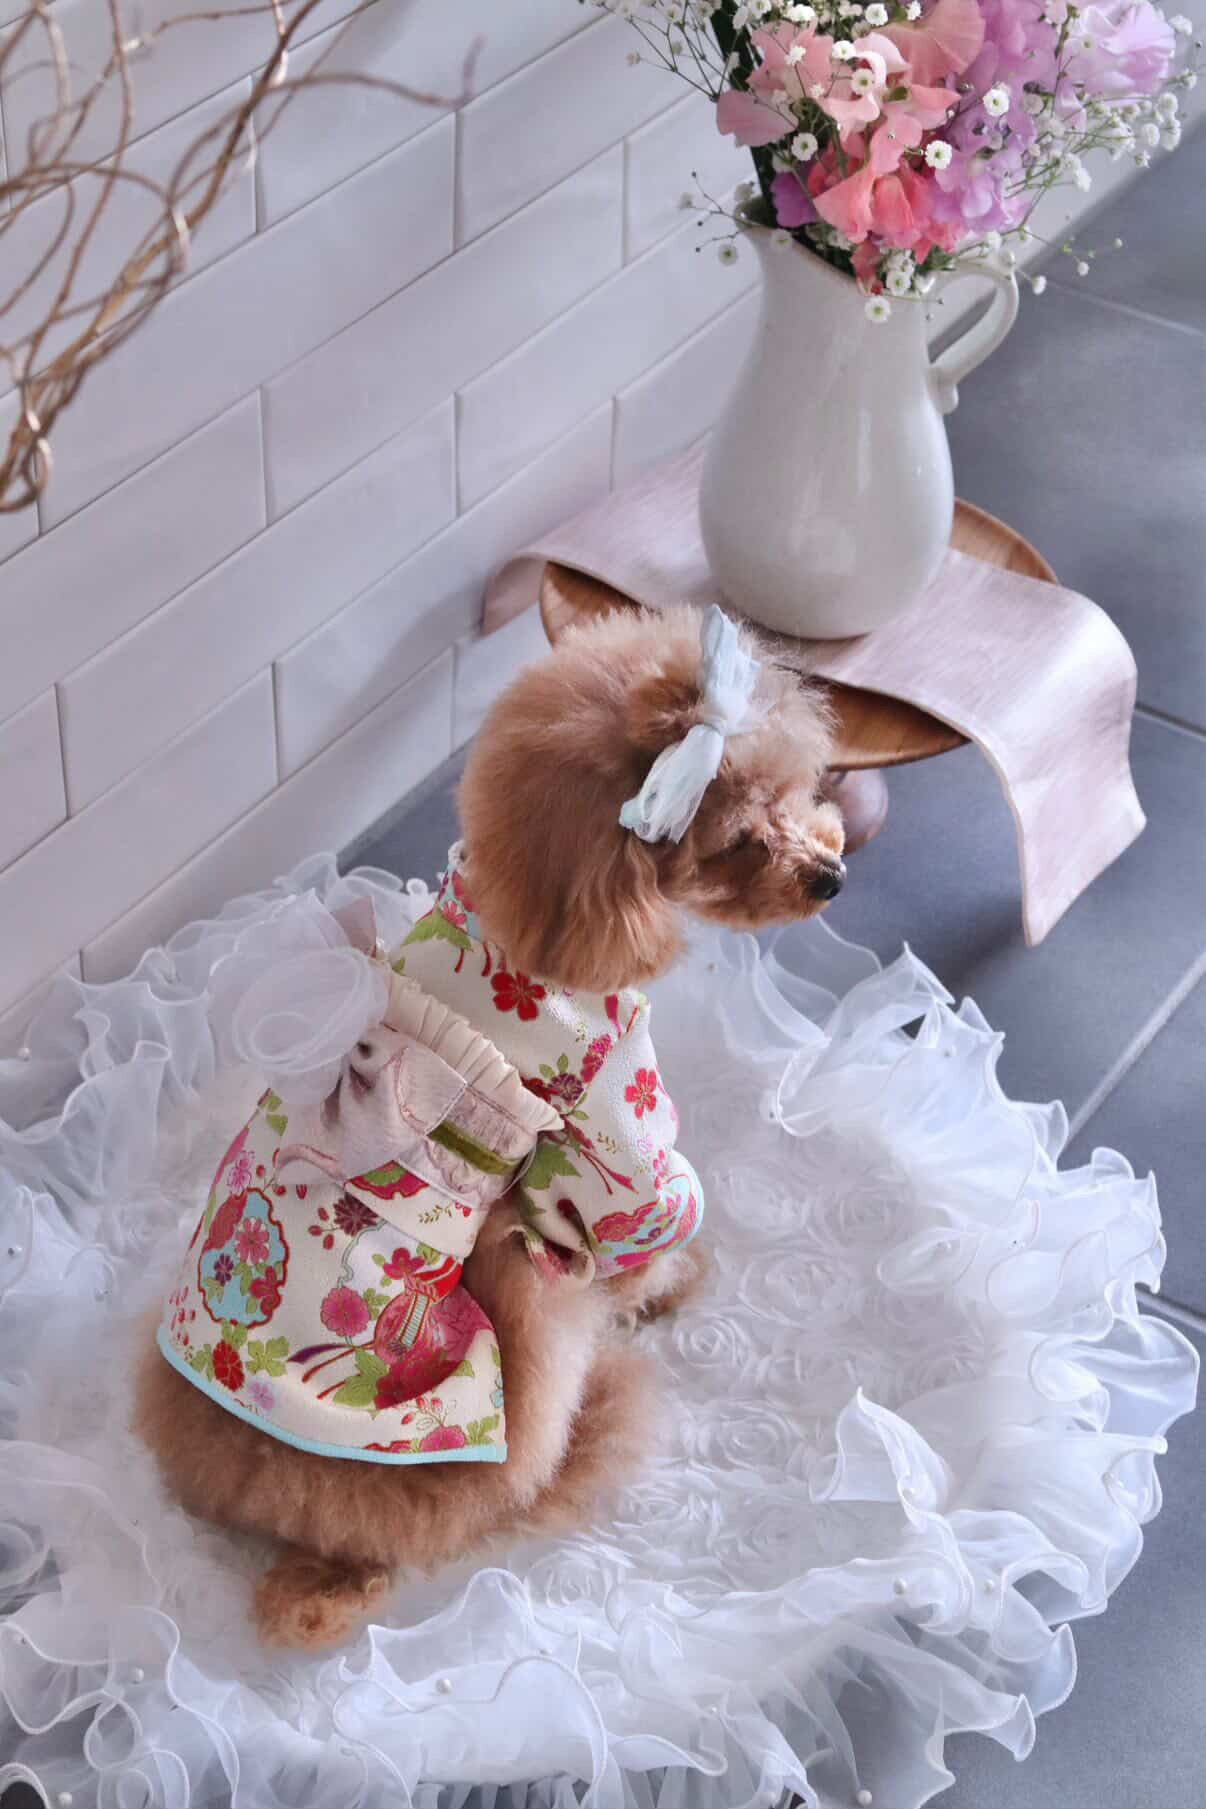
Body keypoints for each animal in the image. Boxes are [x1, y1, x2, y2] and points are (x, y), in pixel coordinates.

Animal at [135, 604, 845, 1649]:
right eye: (743, 839)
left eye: (802, 790)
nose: (831, 875)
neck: (531, 927)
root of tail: (287, 1510)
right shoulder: (611, 1125)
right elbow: (646, 1216)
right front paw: (670, 1282)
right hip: (516, 1341)